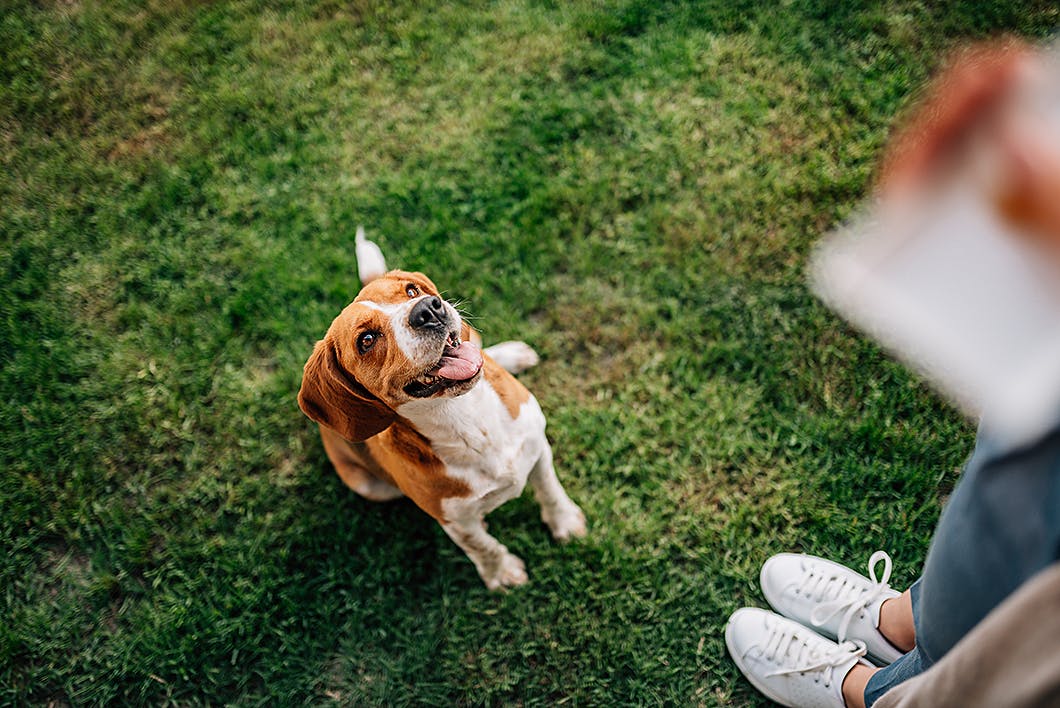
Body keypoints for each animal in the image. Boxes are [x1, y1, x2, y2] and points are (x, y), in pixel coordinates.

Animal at [296, 229, 589, 589]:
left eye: (411, 291)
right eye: (366, 340)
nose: (428, 309)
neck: (466, 417)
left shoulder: (537, 447)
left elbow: (550, 491)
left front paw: (566, 523)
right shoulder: (454, 520)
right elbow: (482, 546)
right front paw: (502, 573)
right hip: (369, 487)